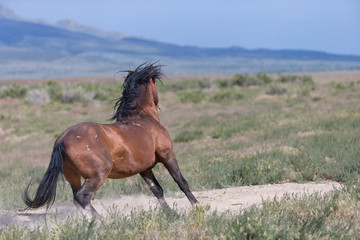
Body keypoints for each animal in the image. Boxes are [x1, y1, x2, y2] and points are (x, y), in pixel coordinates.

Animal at [23, 62, 200, 217]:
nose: (158, 103)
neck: (143, 118)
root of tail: (62, 139)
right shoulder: (167, 155)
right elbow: (181, 181)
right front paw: (197, 206)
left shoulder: (145, 168)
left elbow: (157, 189)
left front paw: (170, 213)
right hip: (97, 175)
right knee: (83, 197)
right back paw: (102, 220)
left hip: (73, 176)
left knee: (76, 199)